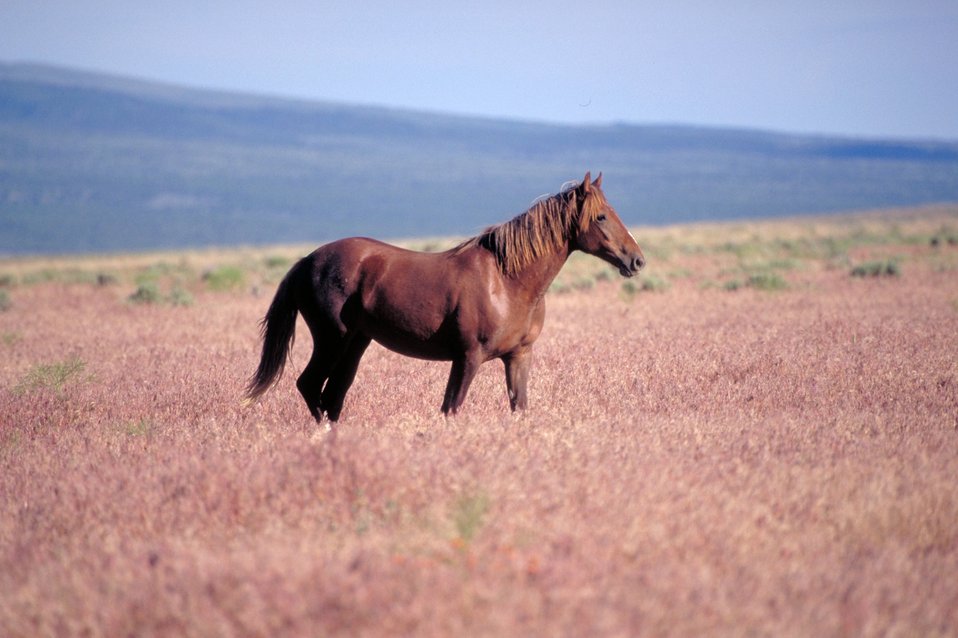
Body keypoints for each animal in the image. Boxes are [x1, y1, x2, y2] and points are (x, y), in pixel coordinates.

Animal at [248, 172, 648, 422]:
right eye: (601, 217)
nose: (637, 260)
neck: (507, 280)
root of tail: (307, 261)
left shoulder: (518, 357)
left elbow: (519, 408)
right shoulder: (467, 358)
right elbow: (451, 408)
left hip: (356, 343)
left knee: (332, 396)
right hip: (333, 340)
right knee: (310, 386)